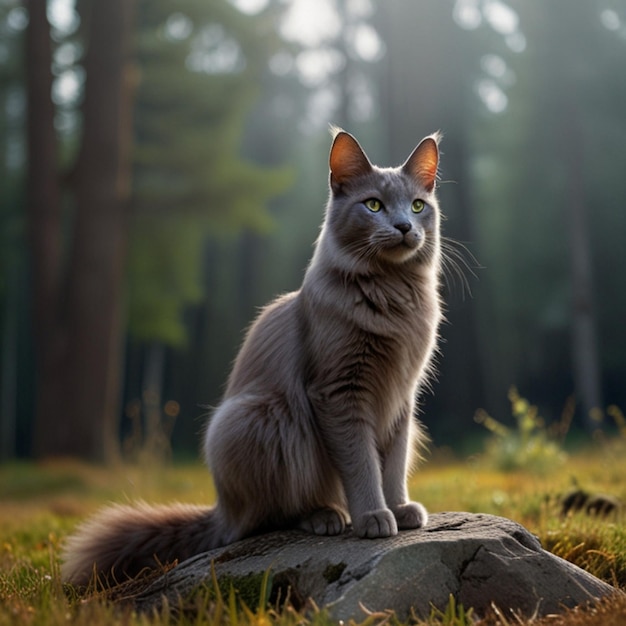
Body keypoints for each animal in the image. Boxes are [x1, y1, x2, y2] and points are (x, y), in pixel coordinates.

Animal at [61, 127, 442, 584]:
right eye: (373, 205)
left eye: (417, 206)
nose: (403, 226)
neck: (392, 296)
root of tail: (221, 512)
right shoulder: (339, 393)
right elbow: (361, 463)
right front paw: (373, 516)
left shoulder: (402, 398)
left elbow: (393, 464)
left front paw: (399, 508)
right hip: (263, 418)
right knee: (268, 517)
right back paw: (324, 515)